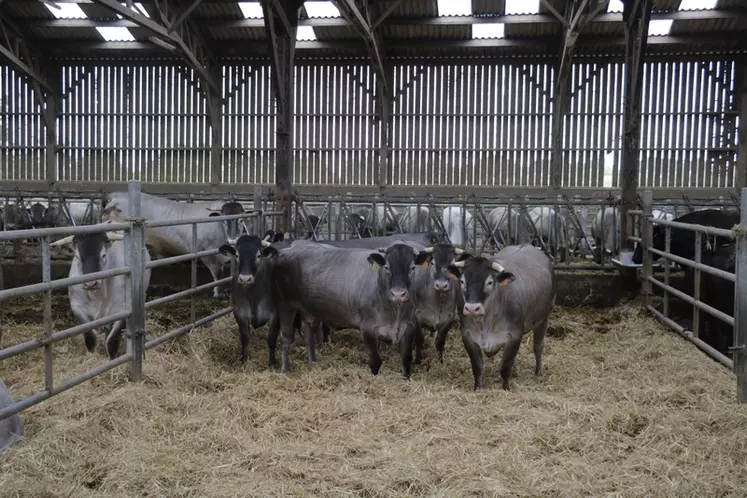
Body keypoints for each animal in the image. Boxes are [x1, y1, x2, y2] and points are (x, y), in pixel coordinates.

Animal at [51, 228, 153, 360]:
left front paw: (112, 357)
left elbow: (112, 340)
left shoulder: (122, 310)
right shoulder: (77, 308)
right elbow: (90, 335)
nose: (90, 284)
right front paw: (92, 353)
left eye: (103, 255)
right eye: (77, 256)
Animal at [102, 193, 241, 298]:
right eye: (224, 221)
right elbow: (217, 274)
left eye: (241, 220)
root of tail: (115, 198)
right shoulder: (205, 252)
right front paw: (217, 294)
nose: (233, 239)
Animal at [272, 241, 430, 378]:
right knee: (286, 338)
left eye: (413, 268)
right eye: (387, 268)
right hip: (286, 306)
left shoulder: (409, 327)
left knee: (309, 334)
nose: (398, 294)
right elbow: (375, 361)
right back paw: (286, 369)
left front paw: (405, 377)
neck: (395, 313)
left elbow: (406, 358)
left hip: (309, 310)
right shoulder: (367, 328)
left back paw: (313, 361)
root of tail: (289, 249)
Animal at [444, 243, 556, 392]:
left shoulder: (514, 335)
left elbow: (505, 366)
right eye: (462, 281)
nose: (472, 308)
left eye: (490, 282)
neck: (485, 323)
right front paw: (478, 388)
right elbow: (477, 366)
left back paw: (538, 371)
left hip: (544, 318)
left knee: (538, 346)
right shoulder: (467, 335)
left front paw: (505, 389)